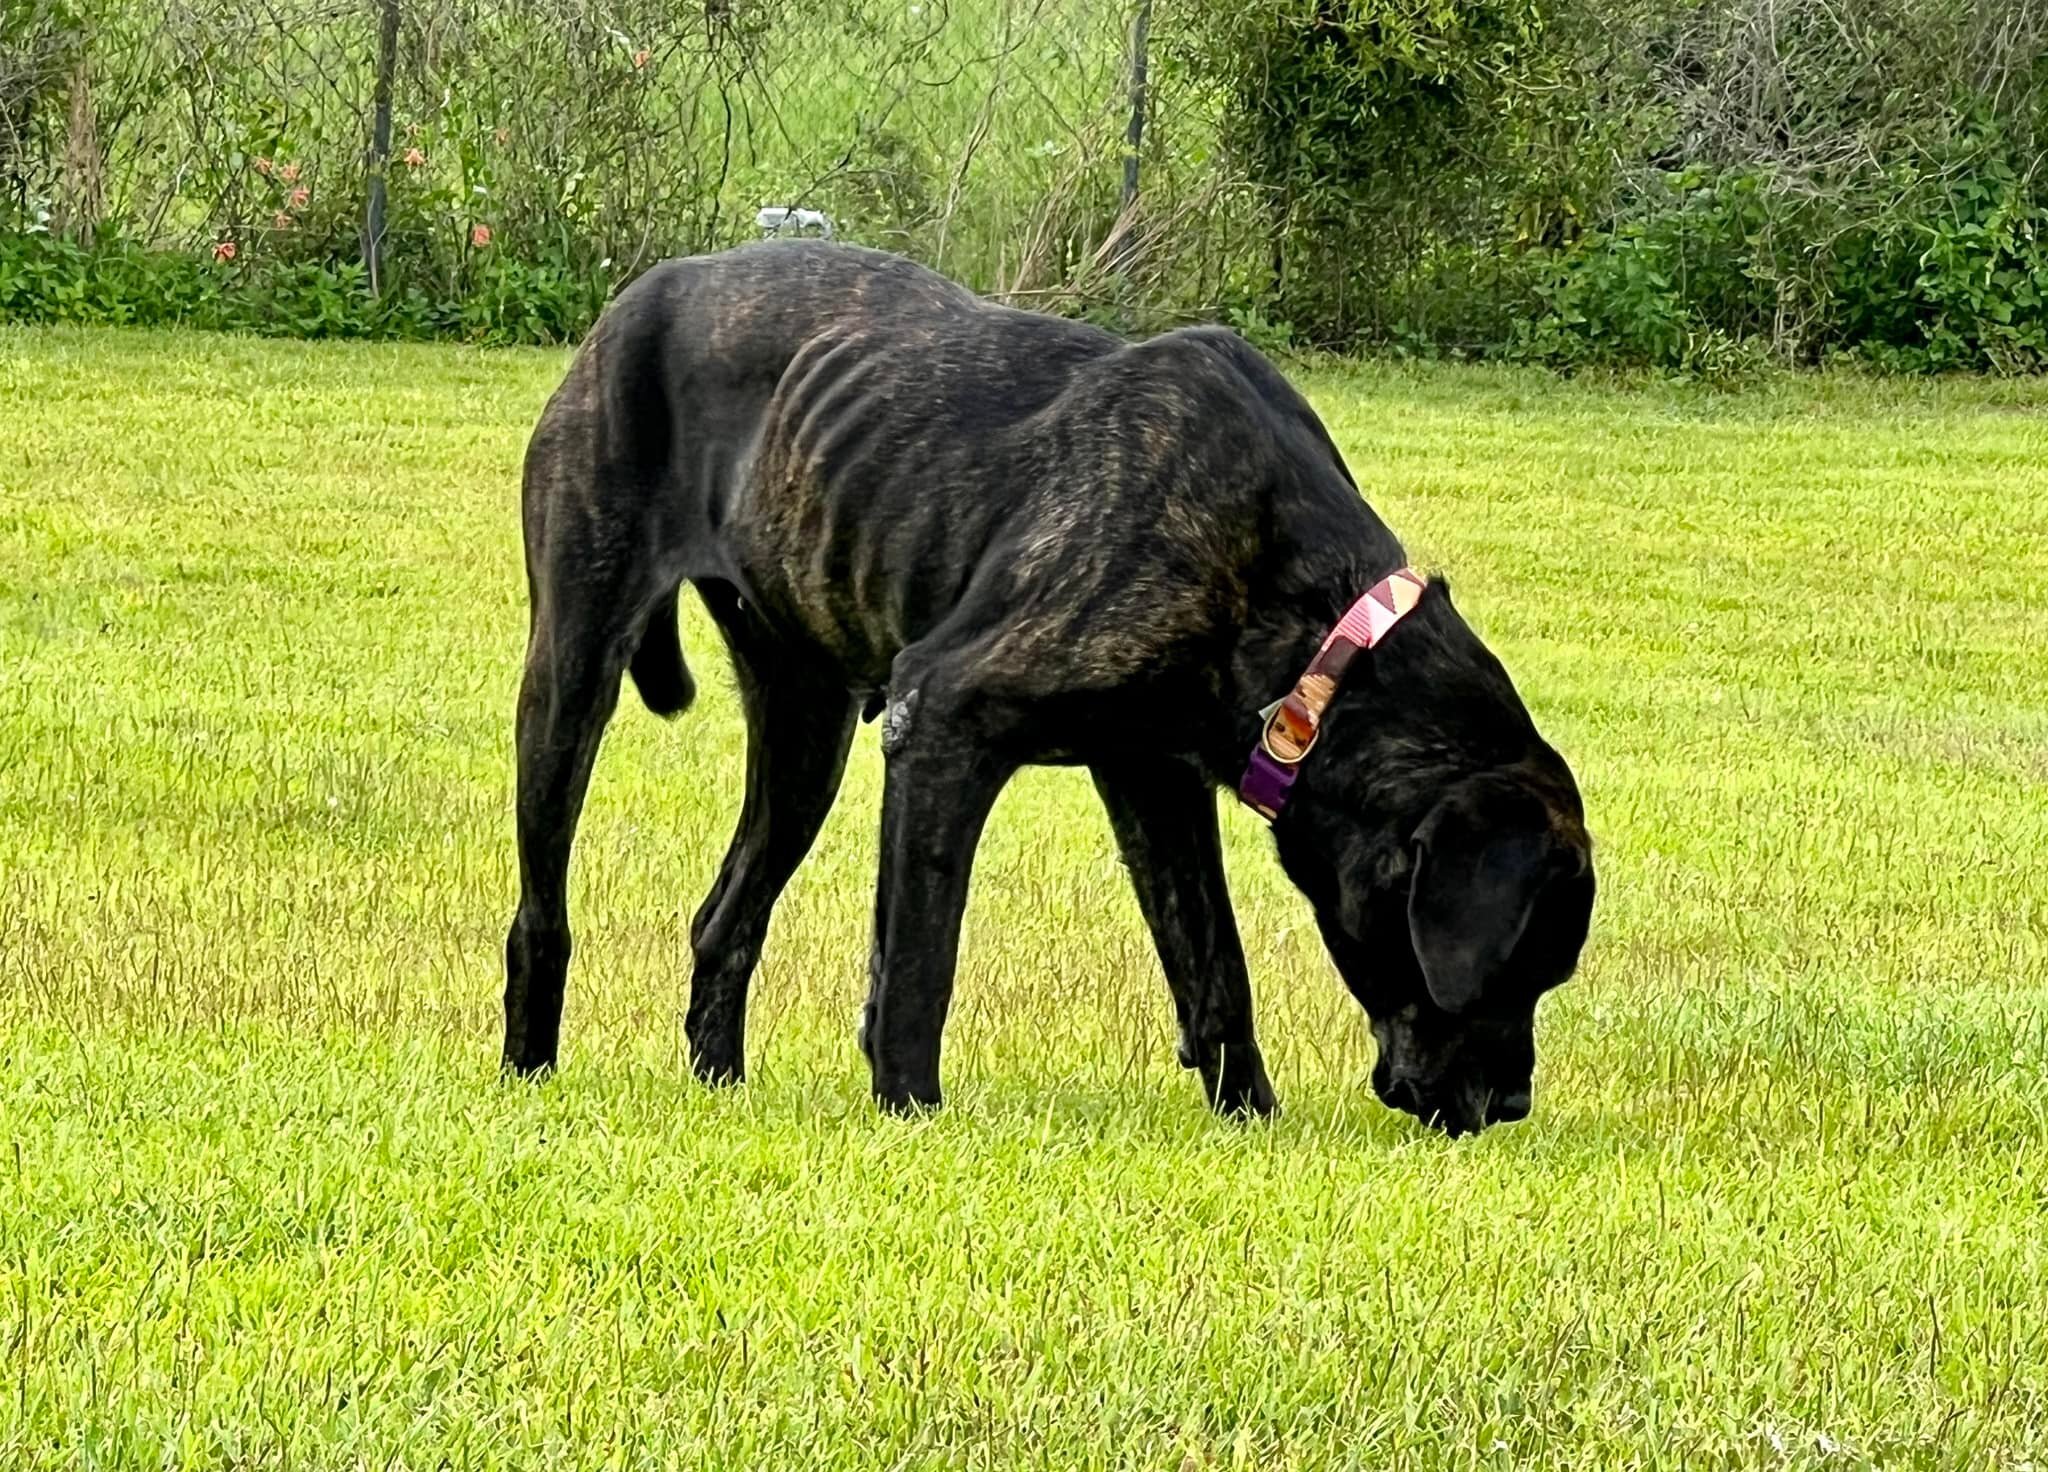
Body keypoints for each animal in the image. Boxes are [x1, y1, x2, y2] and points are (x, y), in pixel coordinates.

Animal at [503, 244, 1589, 1138]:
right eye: (1516, 965)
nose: (1510, 1104)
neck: (1315, 624)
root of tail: (632, 300)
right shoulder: (943, 721)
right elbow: (919, 959)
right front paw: (909, 1109)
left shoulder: (1154, 778)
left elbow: (1213, 965)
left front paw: (1249, 1116)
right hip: (572, 678)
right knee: (542, 910)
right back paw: (529, 1069)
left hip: (804, 732)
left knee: (726, 917)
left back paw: (719, 1083)